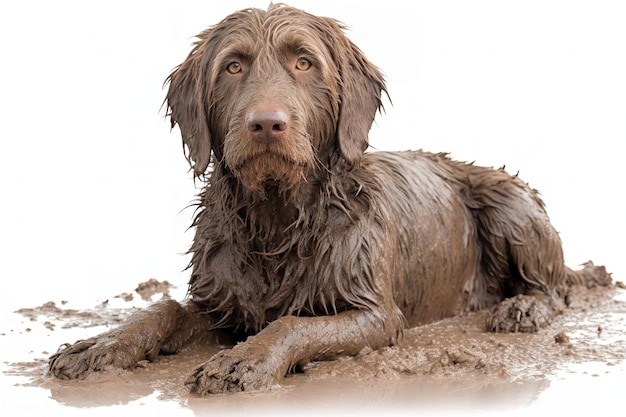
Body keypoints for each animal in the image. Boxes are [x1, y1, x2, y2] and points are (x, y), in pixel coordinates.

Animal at [48, 3, 608, 394]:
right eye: (233, 67)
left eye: (303, 62)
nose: (266, 124)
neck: (278, 220)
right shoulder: (223, 303)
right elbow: (163, 309)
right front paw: (101, 343)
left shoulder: (377, 314)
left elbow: (292, 324)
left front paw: (244, 360)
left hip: (511, 205)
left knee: (554, 288)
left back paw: (523, 308)